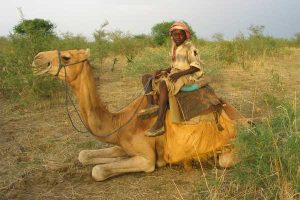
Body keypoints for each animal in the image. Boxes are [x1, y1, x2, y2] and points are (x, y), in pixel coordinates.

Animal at [32, 48, 244, 181]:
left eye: (66, 57)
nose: (37, 58)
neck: (119, 121)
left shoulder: (146, 159)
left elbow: (98, 170)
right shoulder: (122, 144)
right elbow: (84, 155)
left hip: (228, 150)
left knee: (225, 159)